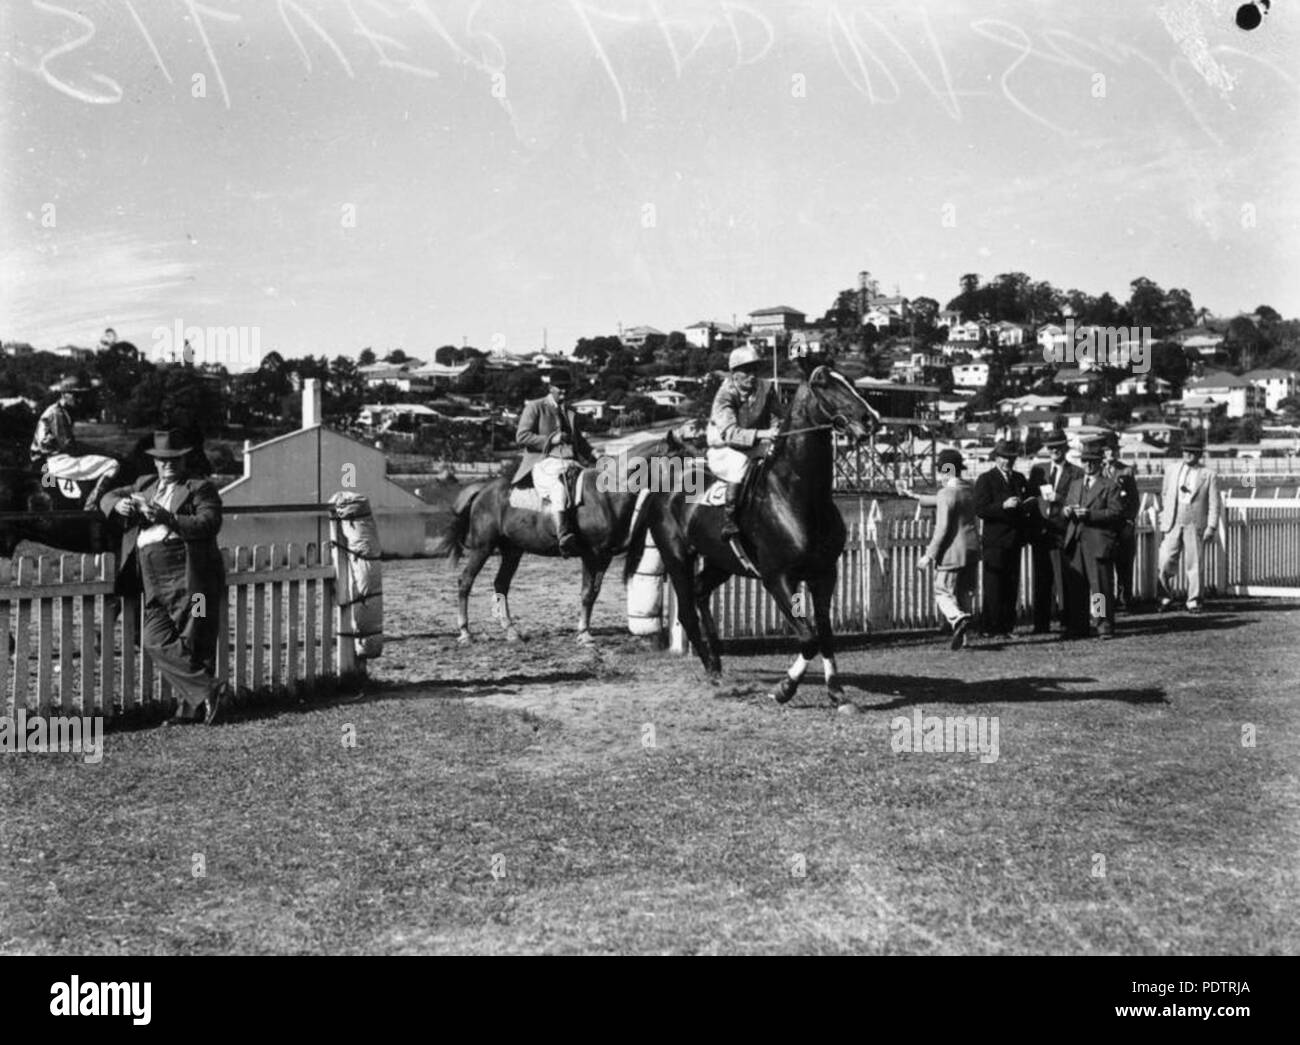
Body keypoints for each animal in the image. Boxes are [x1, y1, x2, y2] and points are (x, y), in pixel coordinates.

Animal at [452, 426, 707, 642]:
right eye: (680, 460)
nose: (694, 495)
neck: (607, 494)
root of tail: (483, 490)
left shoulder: (604, 557)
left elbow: (593, 593)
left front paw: (583, 630)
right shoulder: (591, 555)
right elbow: (586, 593)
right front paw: (584, 634)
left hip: (512, 551)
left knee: (501, 584)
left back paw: (511, 631)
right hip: (483, 548)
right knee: (465, 581)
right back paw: (465, 632)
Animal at [621, 366, 883, 712]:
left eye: (850, 383)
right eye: (824, 385)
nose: (871, 419)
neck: (799, 495)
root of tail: (665, 484)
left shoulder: (825, 574)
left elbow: (825, 635)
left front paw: (837, 693)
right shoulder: (778, 578)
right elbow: (809, 638)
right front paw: (784, 688)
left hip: (721, 562)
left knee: (701, 593)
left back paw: (717, 660)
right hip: (676, 557)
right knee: (688, 611)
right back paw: (711, 670)